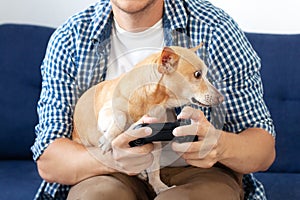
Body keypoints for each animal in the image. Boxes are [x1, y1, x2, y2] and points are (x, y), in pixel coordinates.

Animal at [72, 45, 223, 194]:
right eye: (197, 74)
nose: (222, 98)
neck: (153, 102)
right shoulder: (107, 110)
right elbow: (120, 117)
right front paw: (108, 140)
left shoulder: (155, 142)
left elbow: (154, 170)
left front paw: (159, 187)